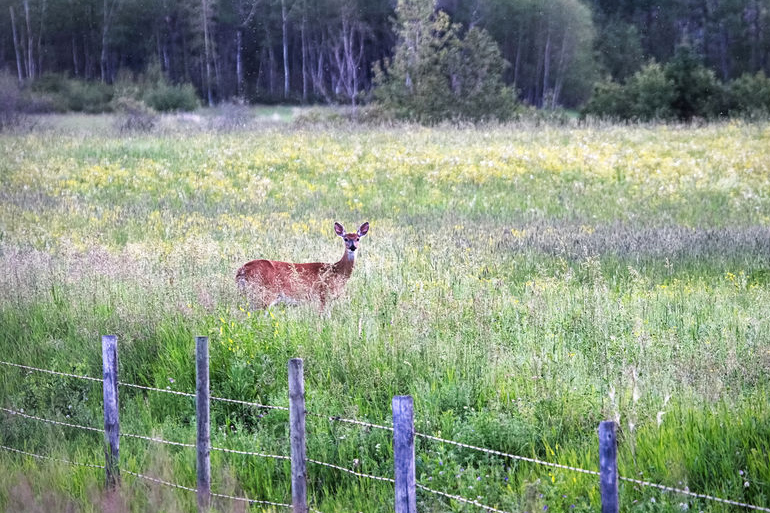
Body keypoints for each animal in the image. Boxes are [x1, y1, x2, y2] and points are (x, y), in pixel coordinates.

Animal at [236, 219, 368, 308]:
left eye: (358, 238)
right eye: (345, 238)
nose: (352, 247)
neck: (337, 272)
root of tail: (240, 271)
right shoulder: (322, 295)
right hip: (265, 293)